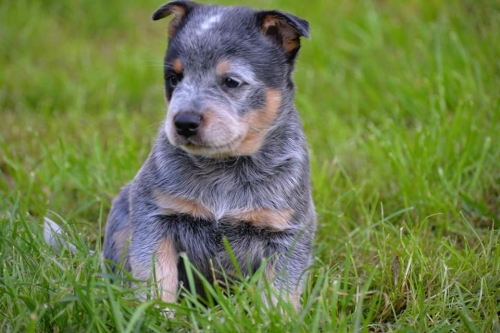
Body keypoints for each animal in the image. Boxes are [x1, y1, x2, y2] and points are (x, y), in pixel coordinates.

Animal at [102, 0, 316, 308]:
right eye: (173, 78)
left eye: (231, 81)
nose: (184, 122)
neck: (225, 168)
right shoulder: (153, 212)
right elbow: (157, 277)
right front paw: (158, 313)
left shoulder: (288, 231)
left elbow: (279, 293)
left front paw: (276, 316)